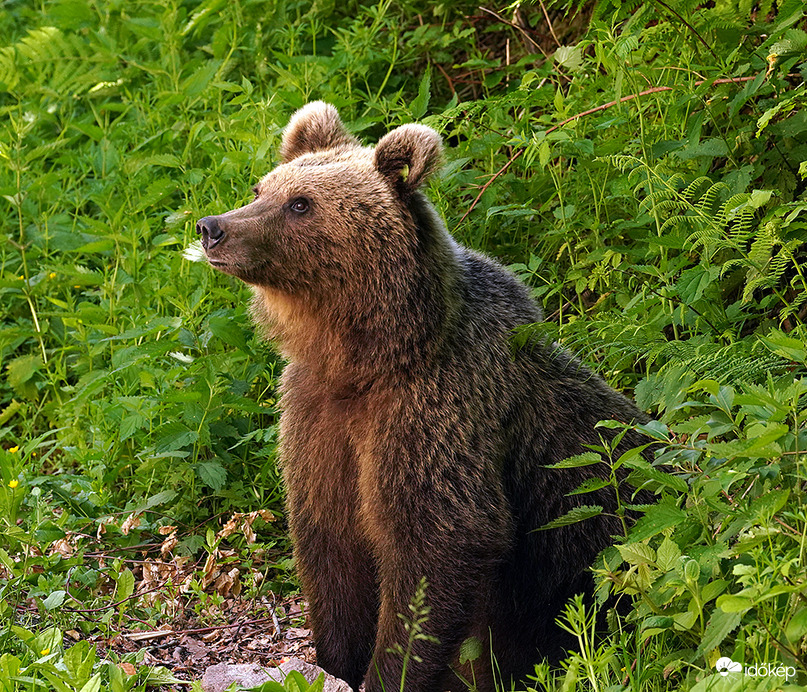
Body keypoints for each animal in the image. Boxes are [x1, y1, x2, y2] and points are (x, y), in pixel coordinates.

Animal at [196, 102, 652, 692]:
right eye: (261, 187)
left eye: (300, 204)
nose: (213, 228)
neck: (365, 358)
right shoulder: (316, 414)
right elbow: (330, 544)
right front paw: (335, 659)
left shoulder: (432, 410)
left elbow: (437, 544)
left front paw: (391, 669)